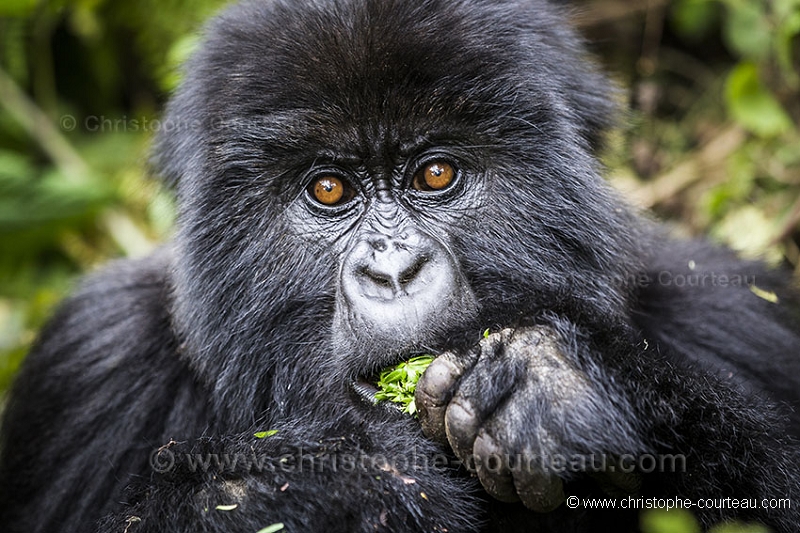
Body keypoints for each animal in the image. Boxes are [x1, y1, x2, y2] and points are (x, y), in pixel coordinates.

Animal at [1, 1, 800, 532]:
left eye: (435, 174)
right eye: (329, 189)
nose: (394, 271)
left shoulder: (730, 311)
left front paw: (560, 383)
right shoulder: (94, 357)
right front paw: (307, 486)